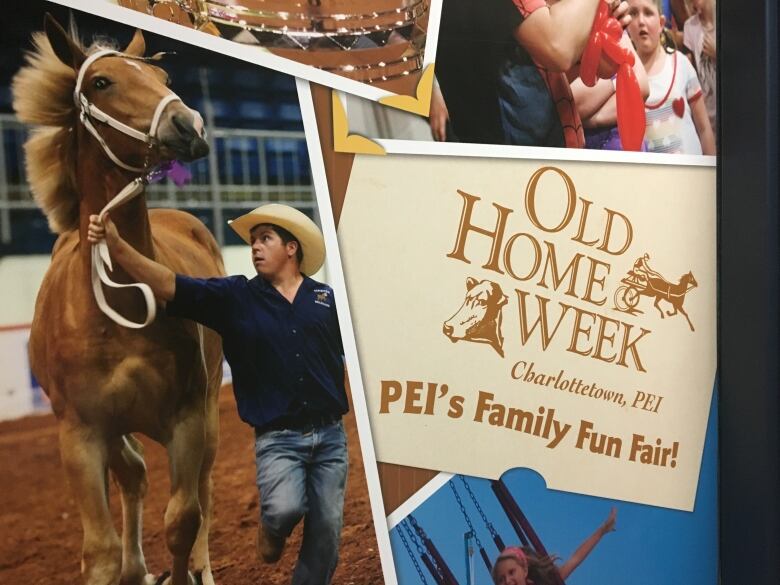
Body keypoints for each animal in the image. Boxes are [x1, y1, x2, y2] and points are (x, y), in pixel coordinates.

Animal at [13, 16, 224, 584]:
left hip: (211, 411)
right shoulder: (81, 435)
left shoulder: (188, 419)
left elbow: (182, 519)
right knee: (134, 476)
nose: (188, 125)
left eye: (163, 75)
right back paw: (137, 567)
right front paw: (128, 566)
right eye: (101, 82)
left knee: (201, 491)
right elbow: (101, 552)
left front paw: (182, 570)